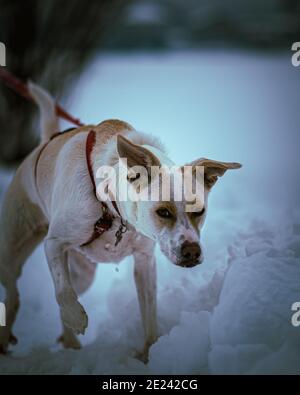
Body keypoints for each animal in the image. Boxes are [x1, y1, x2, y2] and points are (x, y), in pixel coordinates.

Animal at [0, 83, 241, 362]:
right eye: (163, 212)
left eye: (200, 211)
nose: (192, 252)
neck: (110, 205)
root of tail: (44, 143)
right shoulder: (54, 243)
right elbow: (62, 290)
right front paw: (76, 316)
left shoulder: (145, 261)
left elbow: (149, 312)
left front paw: (149, 353)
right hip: (13, 250)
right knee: (15, 293)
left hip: (84, 272)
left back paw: (70, 345)